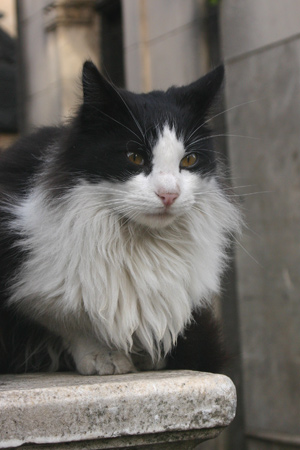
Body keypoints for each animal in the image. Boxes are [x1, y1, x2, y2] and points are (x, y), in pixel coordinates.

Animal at [0, 60, 240, 376]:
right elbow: (71, 322)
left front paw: (146, 357)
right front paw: (107, 357)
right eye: (134, 158)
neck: (140, 245)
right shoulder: (35, 291)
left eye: (189, 160)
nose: (169, 195)